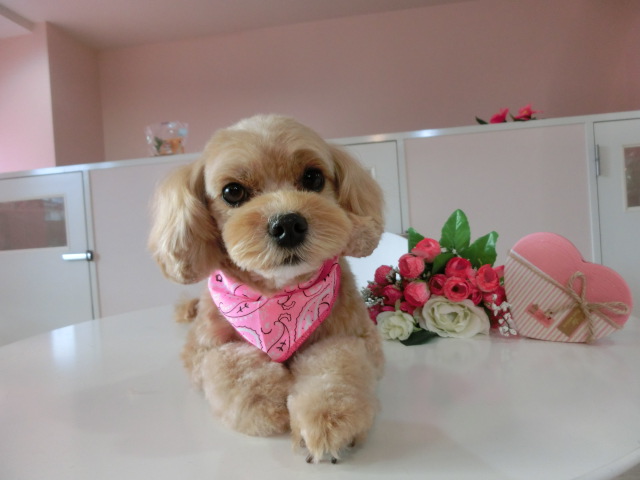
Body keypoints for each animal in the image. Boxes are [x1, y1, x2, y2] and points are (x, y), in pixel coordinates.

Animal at [148, 114, 385, 463]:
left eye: (313, 177)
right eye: (232, 191)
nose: (288, 225)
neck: (278, 294)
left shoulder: (357, 337)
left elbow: (336, 368)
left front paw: (328, 421)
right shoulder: (200, 351)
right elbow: (229, 364)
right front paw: (268, 402)